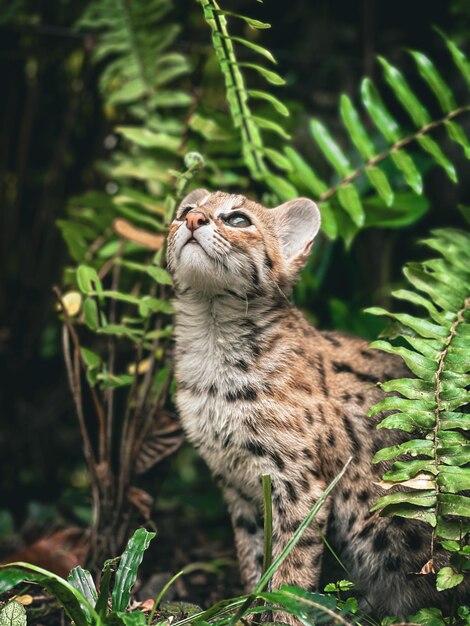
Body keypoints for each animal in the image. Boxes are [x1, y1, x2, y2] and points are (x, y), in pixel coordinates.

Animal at [167, 188, 468, 616]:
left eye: (238, 220)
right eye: (186, 212)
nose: (193, 221)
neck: (213, 335)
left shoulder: (301, 485)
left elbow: (291, 568)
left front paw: (281, 615)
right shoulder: (238, 484)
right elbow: (254, 555)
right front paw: (249, 609)